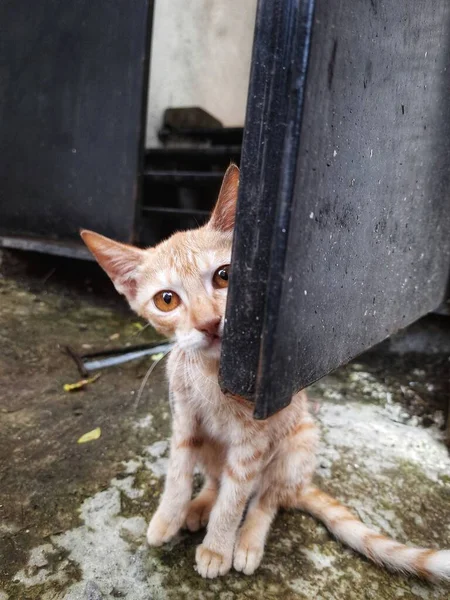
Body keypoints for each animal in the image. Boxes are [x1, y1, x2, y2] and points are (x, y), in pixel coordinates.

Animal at [81, 165, 450, 580]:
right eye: (167, 300)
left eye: (225, 276)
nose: (208, 323)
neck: (212, 372)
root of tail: (301, 483)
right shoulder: (185, 419)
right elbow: (179, 471)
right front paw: (169, 516)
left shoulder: (252, 442)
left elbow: (235, 498)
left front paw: (217, 548)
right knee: (217, 478)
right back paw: (199, 506)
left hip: (296, 446)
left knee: (266, 499)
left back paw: (246, 542)